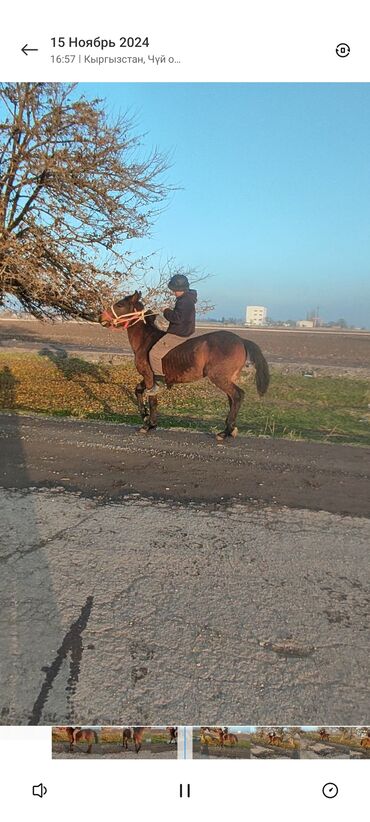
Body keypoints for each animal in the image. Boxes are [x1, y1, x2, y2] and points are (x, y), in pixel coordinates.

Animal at [99, 292, 270, 440]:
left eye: (120, 305)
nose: (101, 317)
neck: (145, 339)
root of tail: (241, 340)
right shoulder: (149, 378)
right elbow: (138, 391)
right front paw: (145, 415)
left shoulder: (148, 376)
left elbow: (152, 399)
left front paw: (149, 425)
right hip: (227, 379)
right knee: (232, 399)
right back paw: (231, 429)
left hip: (220, 378)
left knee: (237, 396)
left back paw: (226, 432)